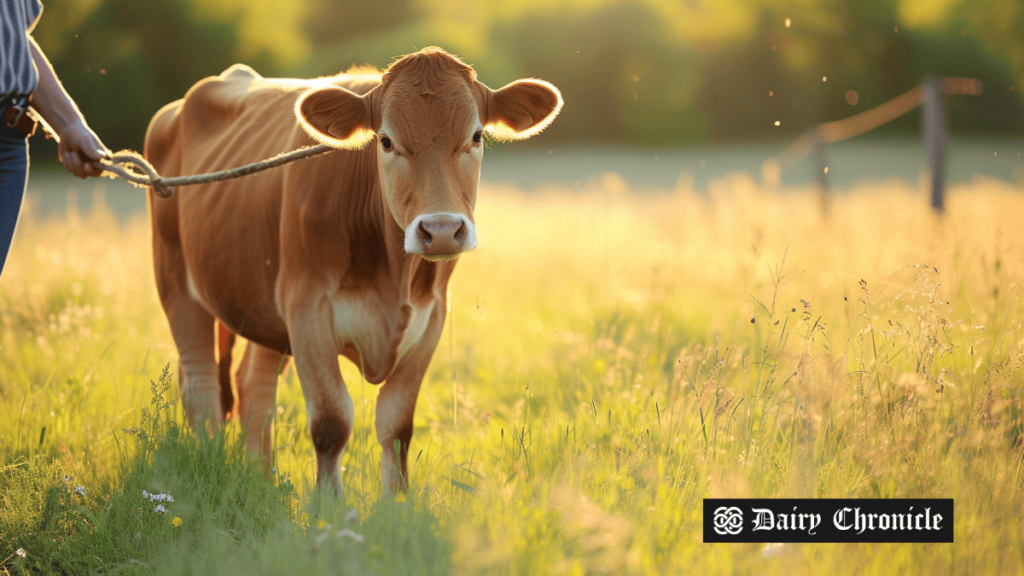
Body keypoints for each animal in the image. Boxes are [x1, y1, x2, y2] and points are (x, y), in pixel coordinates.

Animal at [142, 47, 561, 491]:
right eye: (386, 141)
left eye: (477, 136)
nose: (442, 231)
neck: (393, 278)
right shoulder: (306, 308)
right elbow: (331, 423)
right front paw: (329, 505)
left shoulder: (431, 316)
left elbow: (397, 426)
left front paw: (396, 502)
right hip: (176, 283)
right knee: (200, 383)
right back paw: (211, 465)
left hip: (260, 304)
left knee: (253, 383)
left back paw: (261, 478)